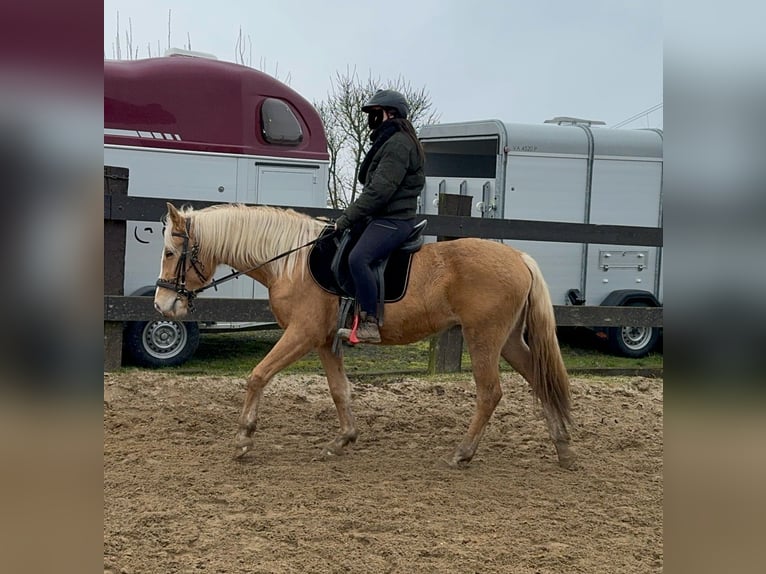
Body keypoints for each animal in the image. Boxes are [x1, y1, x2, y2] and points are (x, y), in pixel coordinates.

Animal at [156, 202, 576, 468]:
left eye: (170, 253)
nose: (163, 305)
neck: (291, 262)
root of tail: (519, 257)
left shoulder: (302, 334)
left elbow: (258, 375)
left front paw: (244, 439)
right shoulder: (324, 341)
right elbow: (339, 390)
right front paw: (343, 440)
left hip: (483, 338)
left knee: (490, 393)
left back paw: (463, 453)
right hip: (508, 341)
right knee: (541, 381)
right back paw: (563, 450)